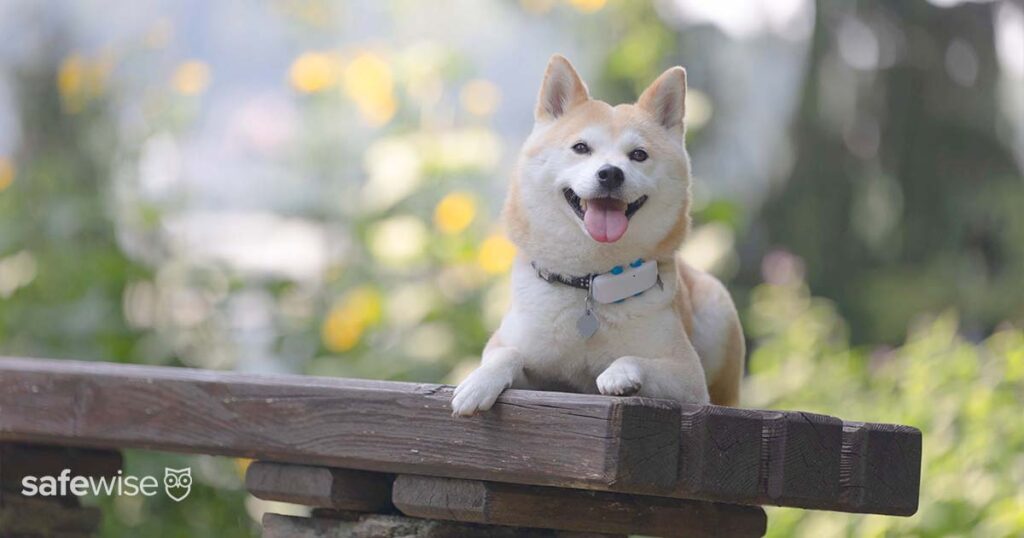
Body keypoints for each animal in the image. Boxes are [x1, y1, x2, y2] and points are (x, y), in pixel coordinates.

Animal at [450, 55, 745, 416]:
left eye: (638, 155)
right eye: (581, 148)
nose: (610, 173)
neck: (590, 283)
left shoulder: (688, 377)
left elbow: (634, 358)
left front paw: (620, 375)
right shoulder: (530, 363)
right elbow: (508, 353)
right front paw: (479, 382)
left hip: (719, 314)